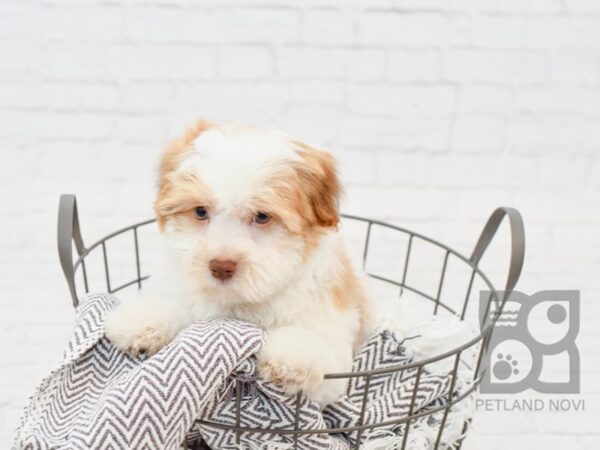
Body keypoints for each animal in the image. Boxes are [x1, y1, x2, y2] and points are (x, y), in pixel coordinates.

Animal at [105, 121, 372, 406]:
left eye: (262, 216)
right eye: (200, 211)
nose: (220, 266)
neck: (238, 302)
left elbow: (318, 351)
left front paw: (294, 359)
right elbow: (175, 305)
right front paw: (143, 320)